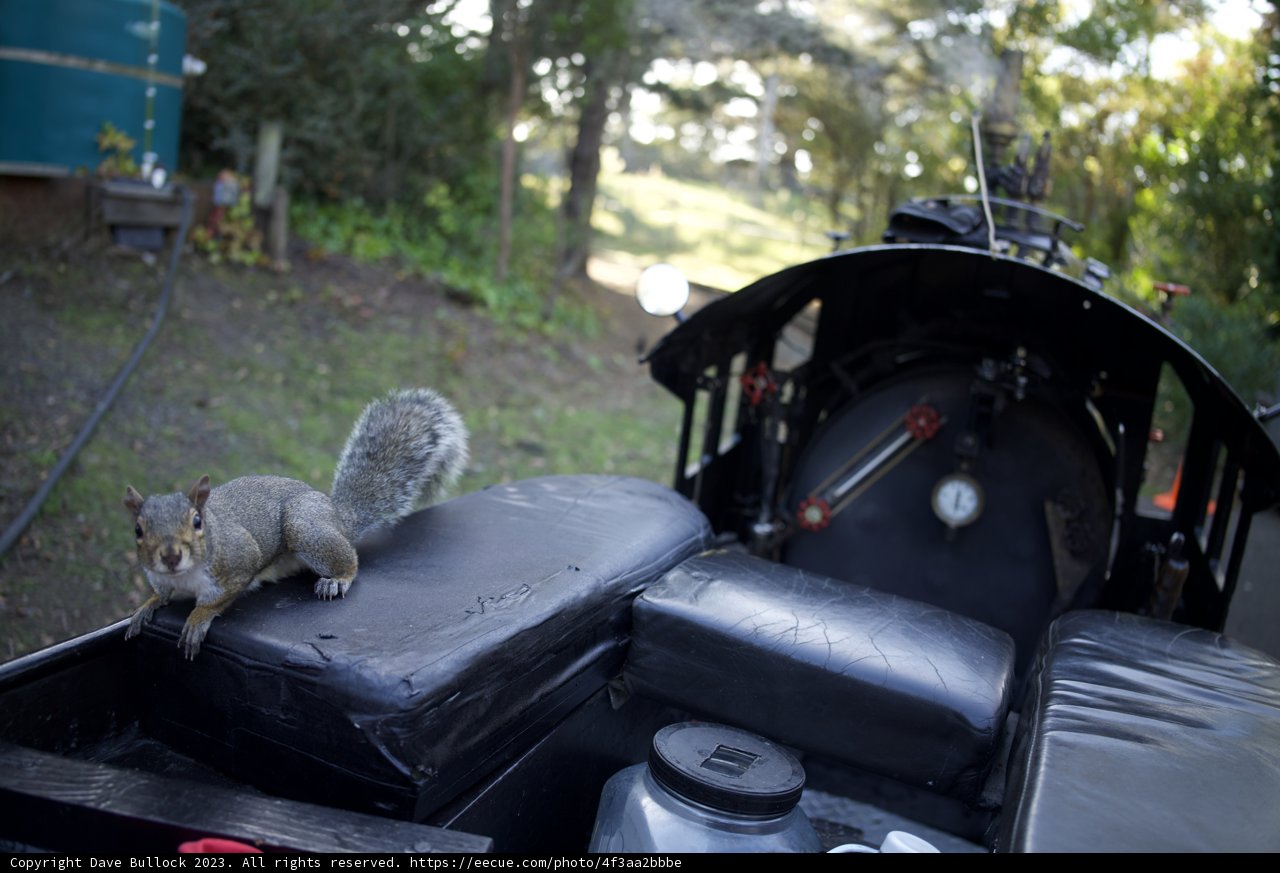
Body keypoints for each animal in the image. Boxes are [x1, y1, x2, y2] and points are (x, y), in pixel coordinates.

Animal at [122, 387, 469, 659]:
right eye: (138, 529)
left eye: (197, 521)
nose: (170, 556)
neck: (184, 576)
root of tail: (336, 515)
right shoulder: (158, 575)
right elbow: (160, 592)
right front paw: (147, 605)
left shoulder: (238, 562)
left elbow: (219, 597)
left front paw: (197, 618)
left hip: (305, 526)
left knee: (350, 560)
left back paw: (337, 579)